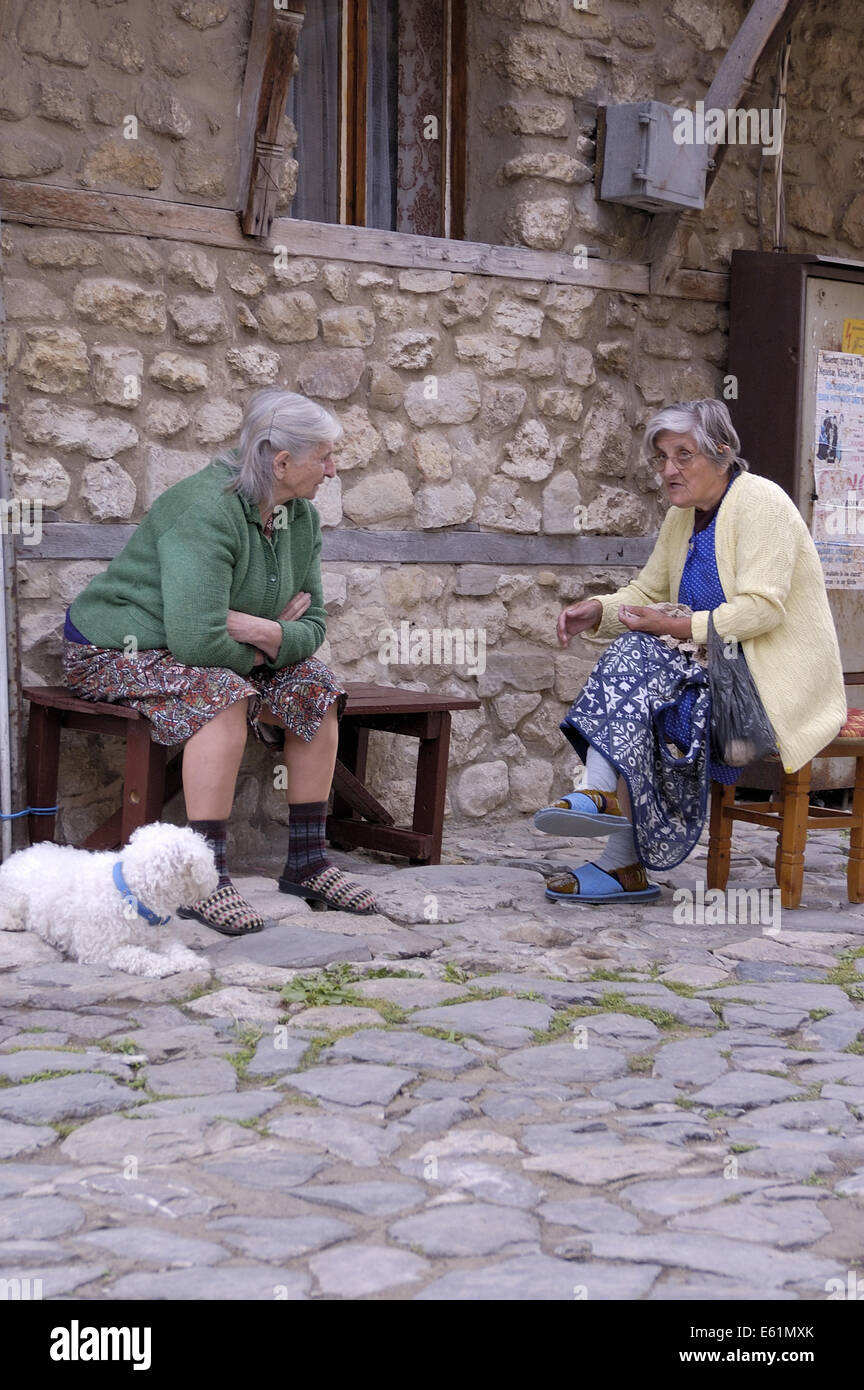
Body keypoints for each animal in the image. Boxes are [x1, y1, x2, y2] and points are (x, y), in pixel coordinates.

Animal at [0, 822, 219, 978]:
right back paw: (11, 922)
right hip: (15, 895)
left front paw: (191, 961)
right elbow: (138, 955)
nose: (216, 879)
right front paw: (163, 965)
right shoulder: (101, 949)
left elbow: (177, 950)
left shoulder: (160, 938)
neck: (132, 894)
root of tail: (18, 855)